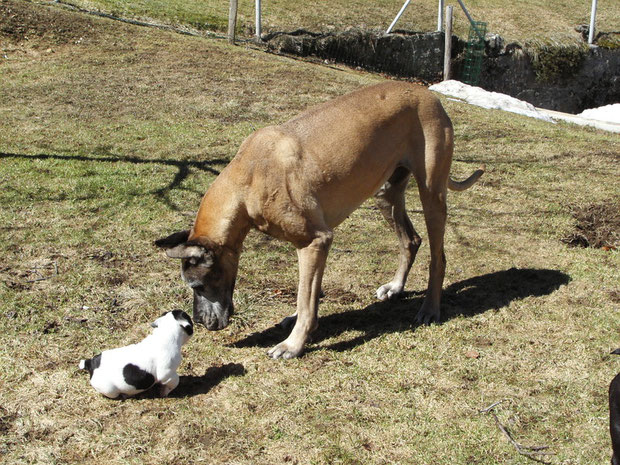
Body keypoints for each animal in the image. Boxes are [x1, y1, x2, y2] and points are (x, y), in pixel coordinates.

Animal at [155, 81, 484, 358]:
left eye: (197, 286)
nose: (201, 323)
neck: (246, 180)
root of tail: (430, 94)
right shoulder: (317, 246)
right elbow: (309, 297)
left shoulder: (315, 241)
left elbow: (305, 297)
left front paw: (293, 344)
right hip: (385, 192)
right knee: (410, 240)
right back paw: (395, 287)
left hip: (432, 193)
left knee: (438, 257)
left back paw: (430, 308)